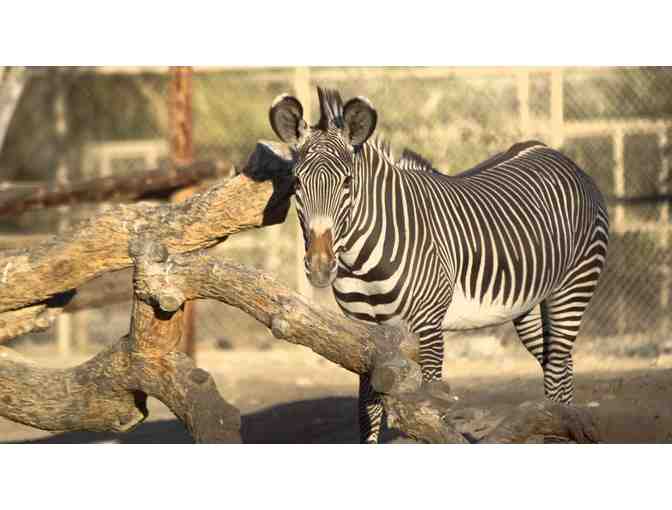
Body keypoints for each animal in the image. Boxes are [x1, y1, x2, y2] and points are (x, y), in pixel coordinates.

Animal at [268, 86, 608, 442]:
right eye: (297, 183)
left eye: (347, 182)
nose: (320, 265)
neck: (364, 262)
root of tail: (553, 153)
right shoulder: (365, 334)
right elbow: (368, 411)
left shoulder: (429, 326)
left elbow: (426, 411)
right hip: (527, 305)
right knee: (559, 367)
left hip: (574, 285)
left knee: (557, 367)